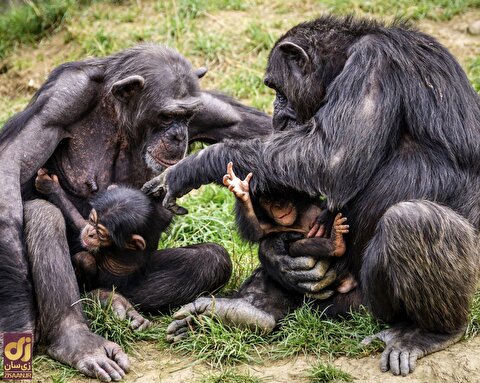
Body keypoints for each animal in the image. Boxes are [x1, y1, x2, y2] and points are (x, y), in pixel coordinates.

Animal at [0, 44, 272, 380]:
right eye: (167, 116)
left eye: (187, 116)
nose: (178, 136)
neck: (120, 116)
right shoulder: (60, 101)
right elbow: (9, 173)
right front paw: (17, 324)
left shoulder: (209, 108)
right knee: (42, 214)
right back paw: (77, 340)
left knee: (212, 259)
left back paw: (114, 302)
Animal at [223, 162, 354, 294]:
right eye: (267, 200)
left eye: (282, 194)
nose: (279, 205)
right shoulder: (269, 226)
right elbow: (257, 231)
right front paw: (241, 191)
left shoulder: (315, 209)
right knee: (295, 247)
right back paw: (336, 243)